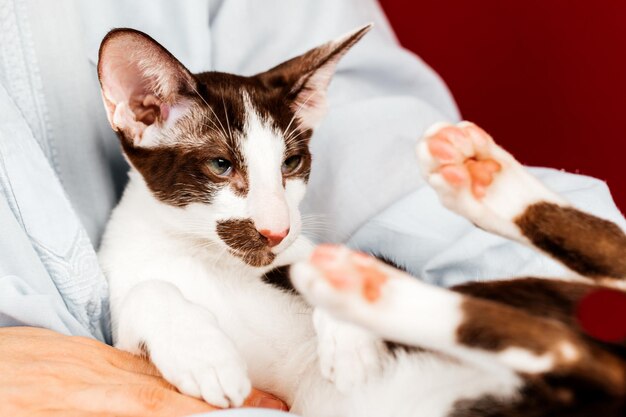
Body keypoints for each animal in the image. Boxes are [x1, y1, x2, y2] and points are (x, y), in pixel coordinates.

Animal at [97, 26, 624, 416]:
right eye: (221, 165)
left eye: (291, 163)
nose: (276, 230)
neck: (206, 258)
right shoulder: (121, 322)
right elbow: (149, 291)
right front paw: (204, 354)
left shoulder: (293, 256)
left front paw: (347, 337)